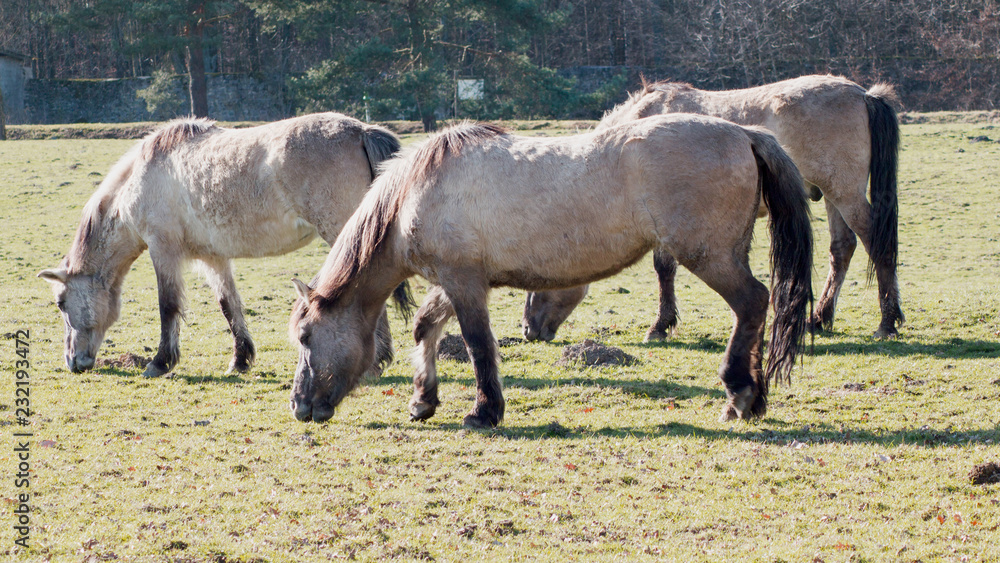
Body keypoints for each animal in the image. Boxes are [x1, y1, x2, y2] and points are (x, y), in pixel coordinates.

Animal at [39, 112, 401, 378]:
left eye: (61, 302)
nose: (72, 362)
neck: (141, 180)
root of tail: (361, 131)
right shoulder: (213, 258)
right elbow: (229, 305)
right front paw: (240, 360)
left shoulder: (163, 250)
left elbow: (168, 306)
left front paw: (160, 362)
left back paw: (374, 364)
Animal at [288, 115, 813, 427]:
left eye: (306, 338)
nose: (298, 406)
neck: (414, 194)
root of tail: (744, 133)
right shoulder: (455, 279)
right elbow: (425, 328)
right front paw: (423, 400)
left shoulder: (464, 283)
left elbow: (478, 346)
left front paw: (484, 412)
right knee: (756, 310)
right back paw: (754, 397)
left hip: (711, 257)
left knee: (752, 303)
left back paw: (739, 393)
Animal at [523, 74, 901, 342]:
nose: (528, 329)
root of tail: (864, 95)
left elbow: (663, 269)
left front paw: (660, 325)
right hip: (834, 195)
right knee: (843, 250)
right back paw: (820, 318)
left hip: (845, 193)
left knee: (876, 242)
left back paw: (887, 321)